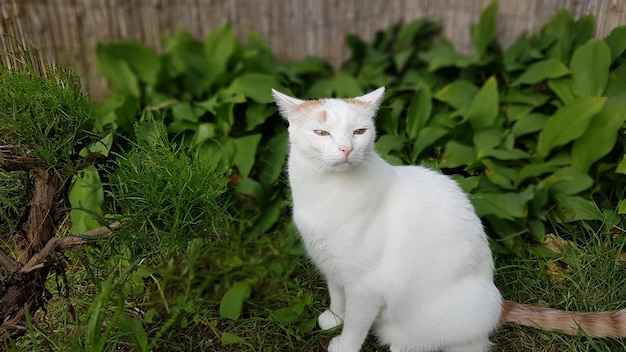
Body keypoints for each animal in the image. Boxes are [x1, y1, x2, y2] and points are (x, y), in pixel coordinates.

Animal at [270, 86, 624, 352]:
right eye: (321, 132)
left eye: (359, 131)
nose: (346, 149)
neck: (327, 193)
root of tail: (499, 304)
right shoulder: (333, 266)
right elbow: (338, 297)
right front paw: (334, 318)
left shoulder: (366, 287)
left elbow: (357, 324)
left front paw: (343, 344)